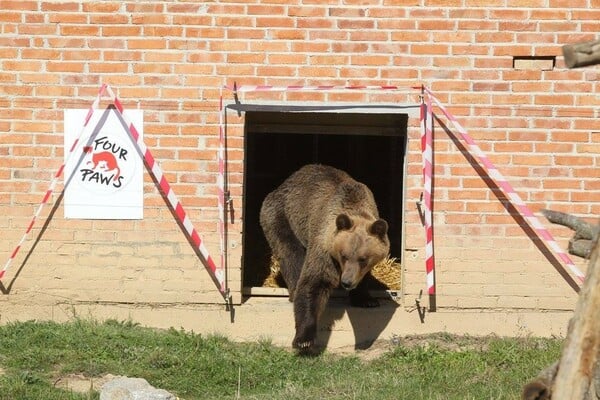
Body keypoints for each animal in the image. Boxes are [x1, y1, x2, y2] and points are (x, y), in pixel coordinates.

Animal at [260, 164, 392, 352]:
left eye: (363, 259)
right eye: (344, 255)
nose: (346, 282)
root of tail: (282, 184)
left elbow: (364, 278)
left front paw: (367, 299)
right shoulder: (324, 245)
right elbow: (313, 283)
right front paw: (304, 339)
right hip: (280, 216)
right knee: (291, 255)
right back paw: (293, 290)